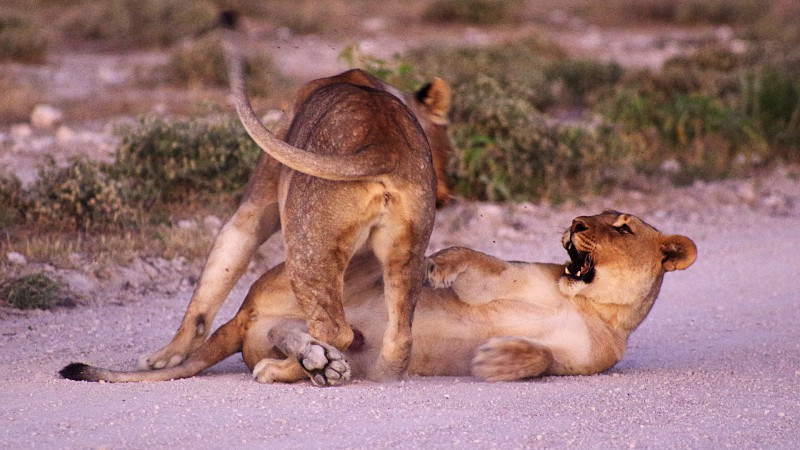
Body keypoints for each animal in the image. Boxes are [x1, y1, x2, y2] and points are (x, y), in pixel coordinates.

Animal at [62, 211, 696, 384]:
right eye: (590, 215)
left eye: (621, 227)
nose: (575, 223)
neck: (585, 299)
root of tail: (245, 312)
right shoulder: (510, 274)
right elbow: (476, 259)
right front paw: (437, 266)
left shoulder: (581, 363)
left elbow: (540, 358)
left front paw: (498, 359)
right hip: (347, 265)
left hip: (284, 339)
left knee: (292, 349)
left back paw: (316, 365)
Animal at [136, 20, 450, 380]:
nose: (446, 195)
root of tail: (385, 141)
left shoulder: (254, 207)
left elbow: (213, 282)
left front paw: (165, 356)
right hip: (406, 252)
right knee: (399, 338)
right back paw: (377, 371)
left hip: (304, 246)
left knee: (334, 331)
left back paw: (292, 368)